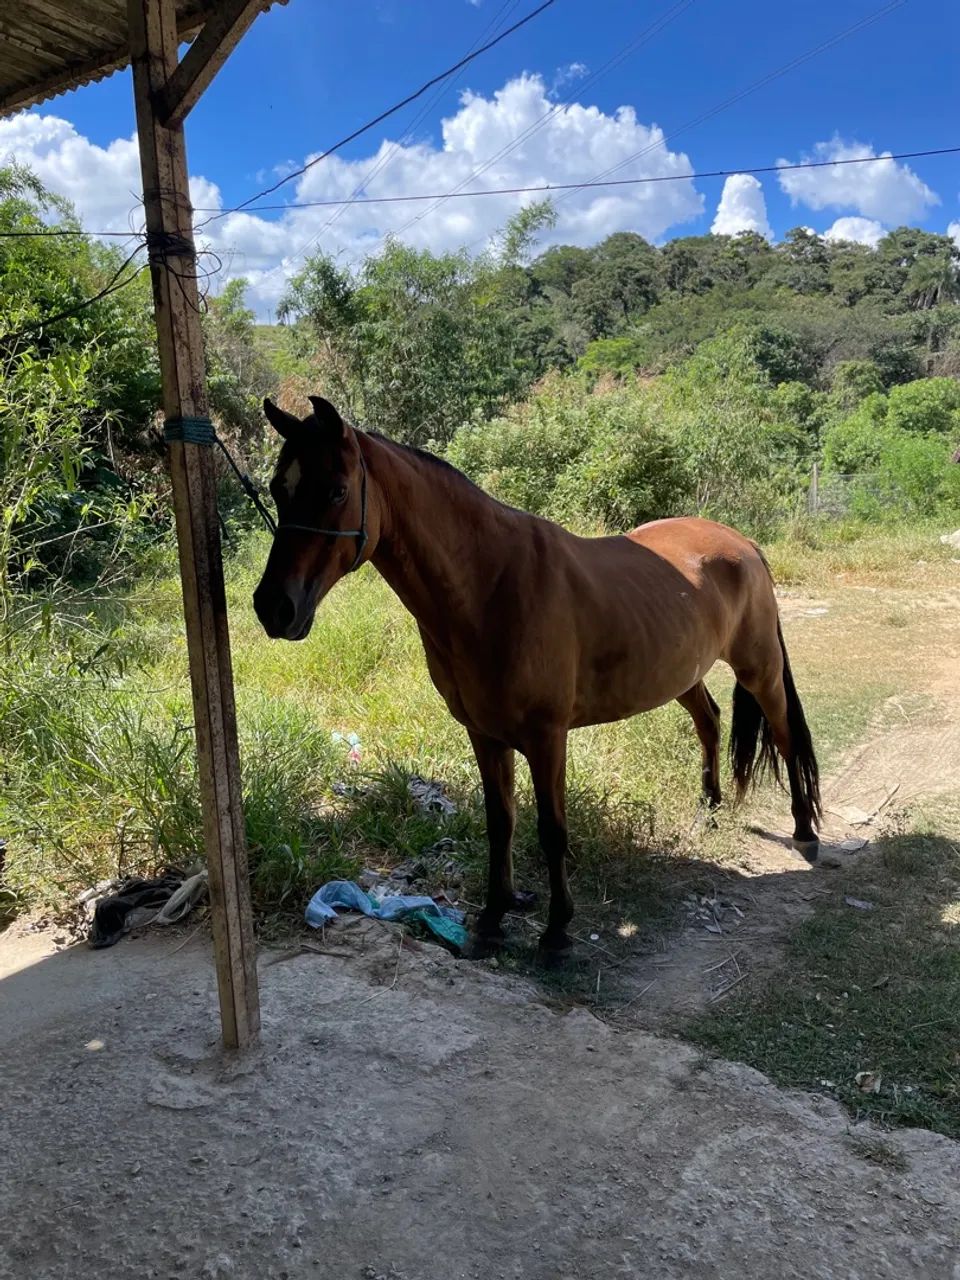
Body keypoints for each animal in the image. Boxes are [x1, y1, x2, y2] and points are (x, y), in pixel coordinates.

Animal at [253, 395, 822, 959]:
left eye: (337, 490)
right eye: (279, 489)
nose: (274, 608)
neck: (490, 586)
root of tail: (741, 542)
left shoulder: (547, 738)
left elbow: (551, 830)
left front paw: (555, 932)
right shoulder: (484, 734)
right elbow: (500, 821)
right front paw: (493, 917)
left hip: (759, 670)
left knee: (786, 736)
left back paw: (803, 829)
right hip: (684, 675)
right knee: (709, 722)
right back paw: (709, 811)